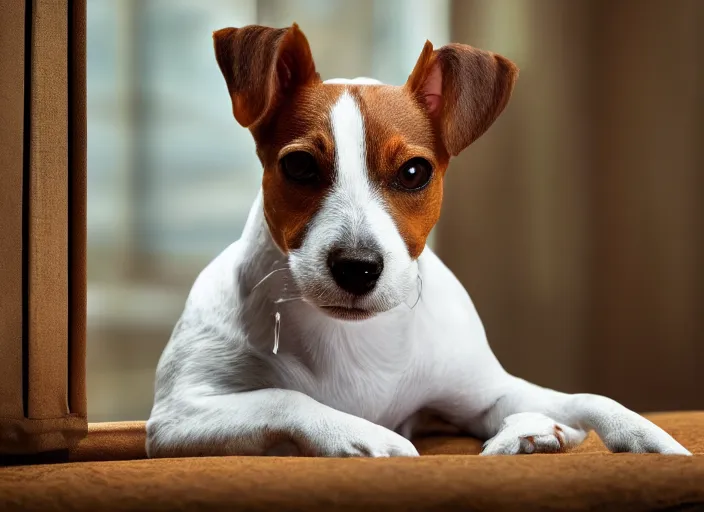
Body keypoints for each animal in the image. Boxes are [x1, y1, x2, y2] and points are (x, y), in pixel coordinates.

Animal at [146, 24, 692, 458]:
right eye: (299, 166)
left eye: (414, 172)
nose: (357, 267)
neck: (356, 337)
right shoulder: (177, 416)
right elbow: (285, 397)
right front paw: (364, 434)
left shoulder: (486, 393)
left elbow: (587, 398)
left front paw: (642, 435)